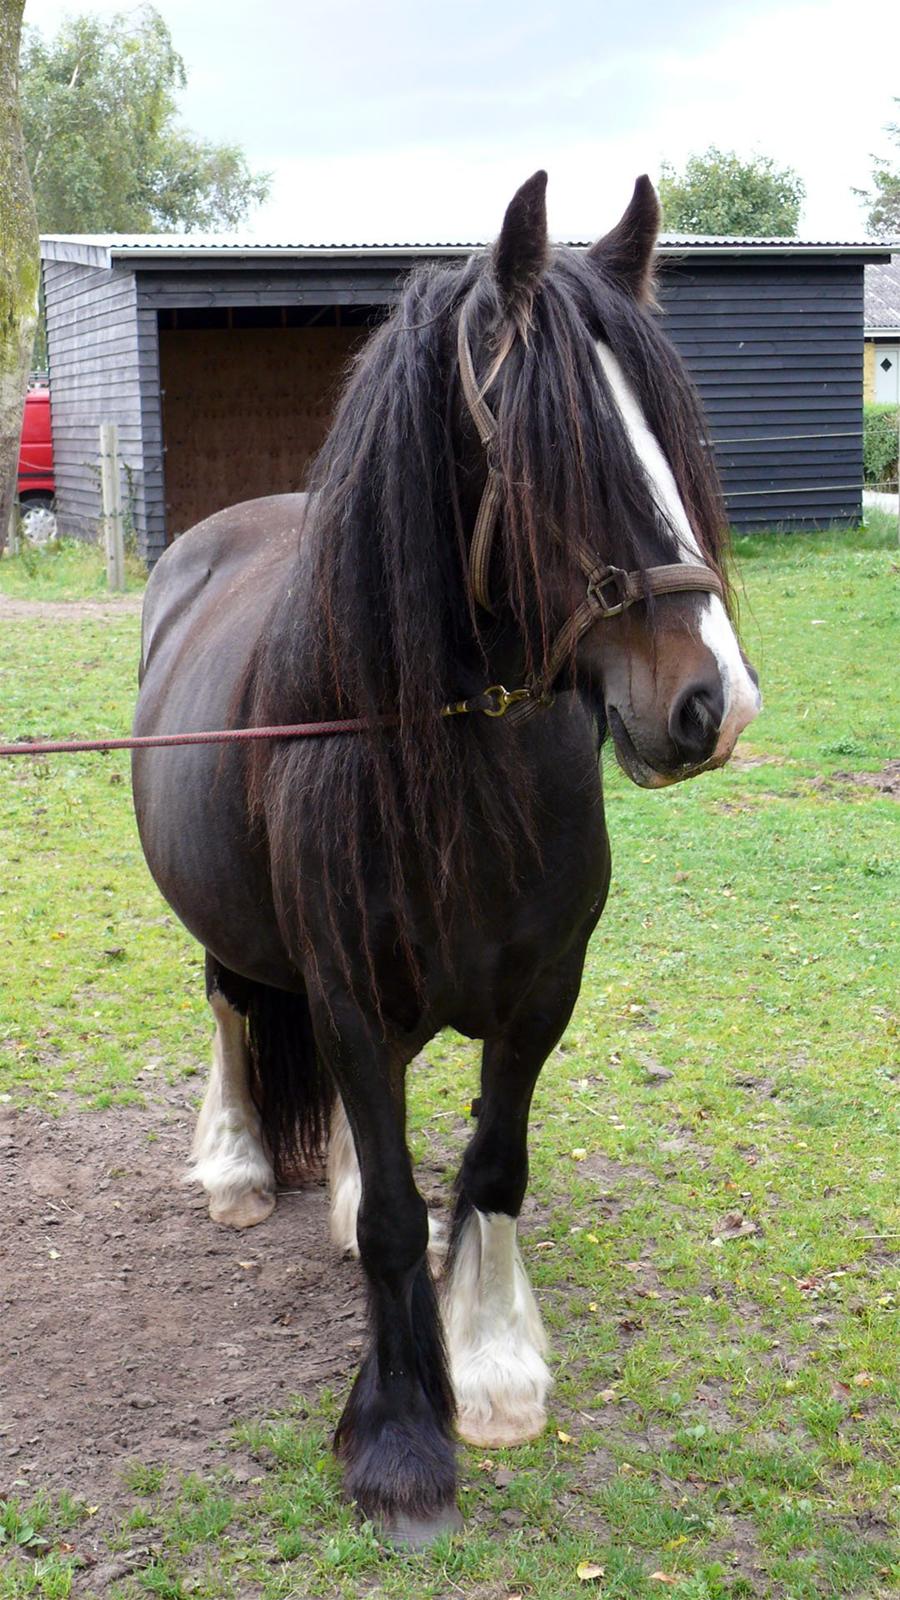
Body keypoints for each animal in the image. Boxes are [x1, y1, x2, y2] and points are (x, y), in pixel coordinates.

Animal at [128, 172, 755, 1536]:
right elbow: (395, 1207)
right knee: (228, 1007)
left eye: (669, 438)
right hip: (232, 931)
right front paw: (404, 1436)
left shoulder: (544, 992)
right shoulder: (351, 998)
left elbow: (492, 1166)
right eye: (546, 448)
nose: (712, 703)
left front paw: (496, 1364)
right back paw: (238, 1164)